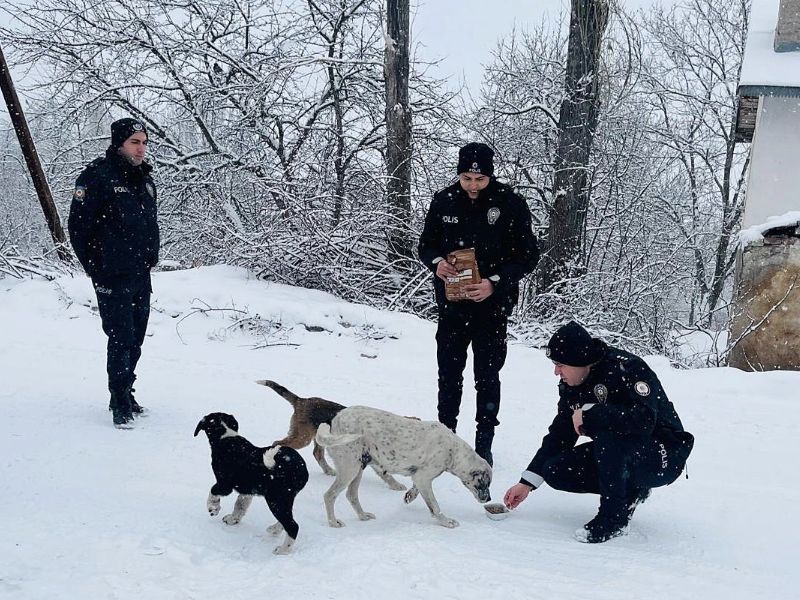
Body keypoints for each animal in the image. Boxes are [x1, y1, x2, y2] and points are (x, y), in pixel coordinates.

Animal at [194, 412, 310, 552]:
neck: (226, 436)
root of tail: (301, 469)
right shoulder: (247, 490)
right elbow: (240, 505)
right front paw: (233, 519)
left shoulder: (224, 485)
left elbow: (213, 492)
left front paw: (213, 508)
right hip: (286, 498)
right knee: (286, 520)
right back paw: (274, 529)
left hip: (276, 499)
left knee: (292, 525)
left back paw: (283, 550)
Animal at [256, 380, 406, 492]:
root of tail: (302, 401)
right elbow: (386, 473)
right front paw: (397, 486)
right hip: (302, 438)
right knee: (277, 443)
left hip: (318, 438)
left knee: (317, 453)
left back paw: (328, 470)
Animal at [314, 406, 490, 528]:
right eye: (484, 483)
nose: (488, 499)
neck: (454, 451)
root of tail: (335, 420)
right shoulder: (423, 477)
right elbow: (435, 506)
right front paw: (446, 522)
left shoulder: (420, 478)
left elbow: (416, 490)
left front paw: (410, 496)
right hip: (349, 468)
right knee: (329, 495)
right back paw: (333, 523)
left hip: (358, 468)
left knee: (351, 495)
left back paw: (363, 516)